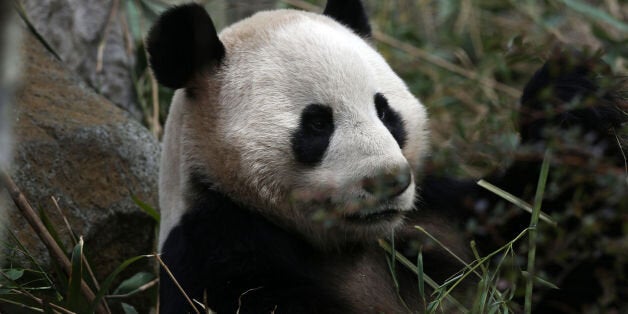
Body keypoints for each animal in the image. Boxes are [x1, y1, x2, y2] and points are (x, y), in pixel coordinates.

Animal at [145, 1, 624, 312]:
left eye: (385, 111)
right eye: (317, 124)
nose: (389, 180)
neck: (342, 243)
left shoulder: (441, 223)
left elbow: (548, 237)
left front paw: (570, 96)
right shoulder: (216, 251)